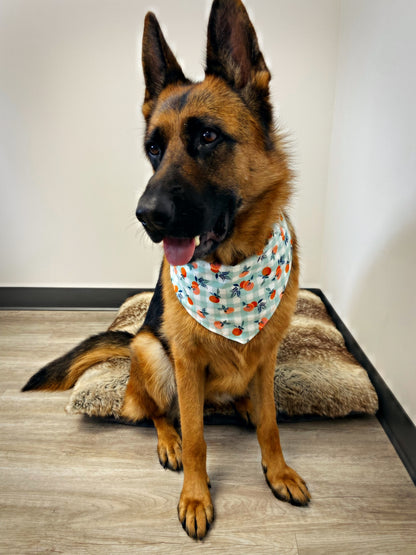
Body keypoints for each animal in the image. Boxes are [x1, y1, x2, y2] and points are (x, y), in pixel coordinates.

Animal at [22, 0, 308, 540]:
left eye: (208, 137)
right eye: (153, 149)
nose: (146, 215)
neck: (234, 269)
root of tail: (133, 337)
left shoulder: (265, 356)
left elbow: (271, 423)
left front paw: (277, 470)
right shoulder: (187, 364)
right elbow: (196, 436)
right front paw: (196, 496)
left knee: (236, 404)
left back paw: (241, 407)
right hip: (153, 354)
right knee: (148, 410)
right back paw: (167, 439)